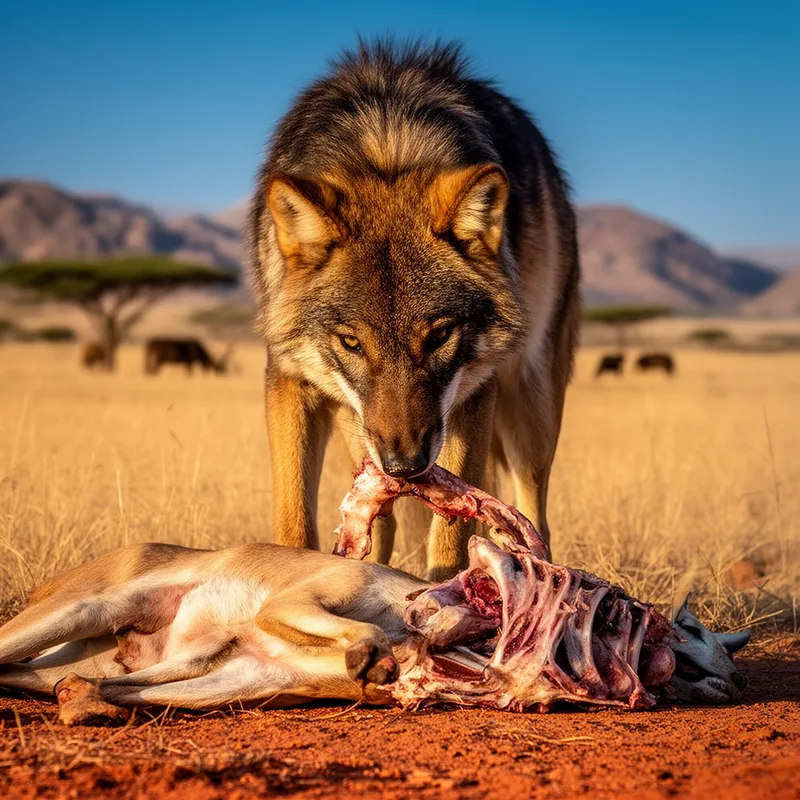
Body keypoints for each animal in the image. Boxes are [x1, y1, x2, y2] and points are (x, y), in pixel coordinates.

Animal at [248, 40, 581, 579]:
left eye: (439, 336)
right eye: (351, 342)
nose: (404, 467)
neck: (387, 149)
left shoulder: (475, 394)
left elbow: (450, 535)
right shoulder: (290, 380)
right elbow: (293, 520)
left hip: (530, 408)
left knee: (533, 517)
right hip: (358, 429)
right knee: (380, 521)